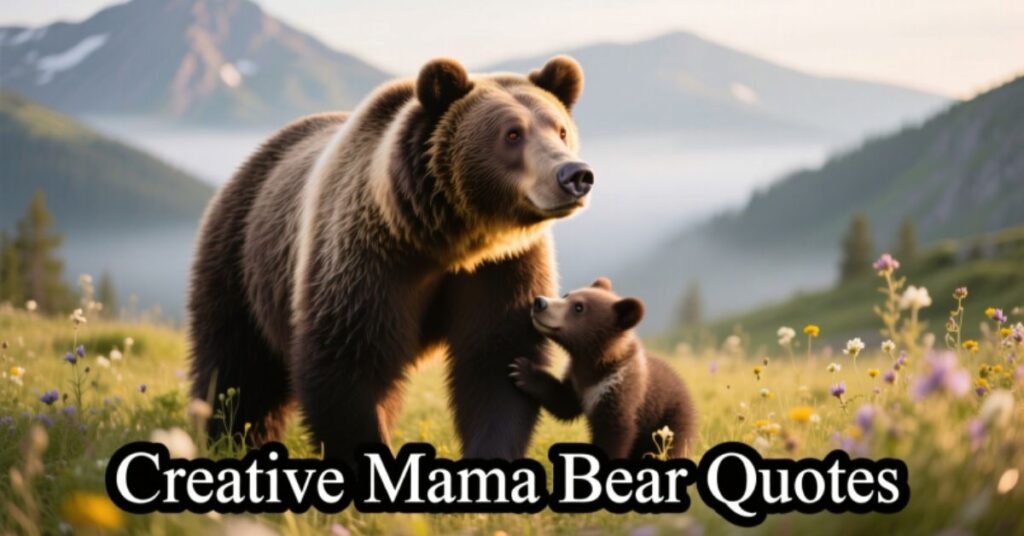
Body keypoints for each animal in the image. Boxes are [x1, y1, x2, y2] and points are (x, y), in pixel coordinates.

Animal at [188, 56, 594, 461]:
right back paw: (229, 439)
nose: (574, 174)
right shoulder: (369, 257)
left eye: (560, 130)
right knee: (238, 366)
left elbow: (497, 361)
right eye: (512, 133)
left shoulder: (503, 266)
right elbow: (347, 363)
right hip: (242, 257)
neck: (450, 238)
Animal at [509, 277, 696, 459]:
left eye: (579, 307)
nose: (539, 302)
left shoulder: (620, 390)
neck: (594, 361)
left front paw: (521, 369)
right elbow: (564, 402)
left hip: (671, 419)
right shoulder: (578, 381)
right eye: (566, 295)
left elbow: (615, 434)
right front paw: (523, 371)